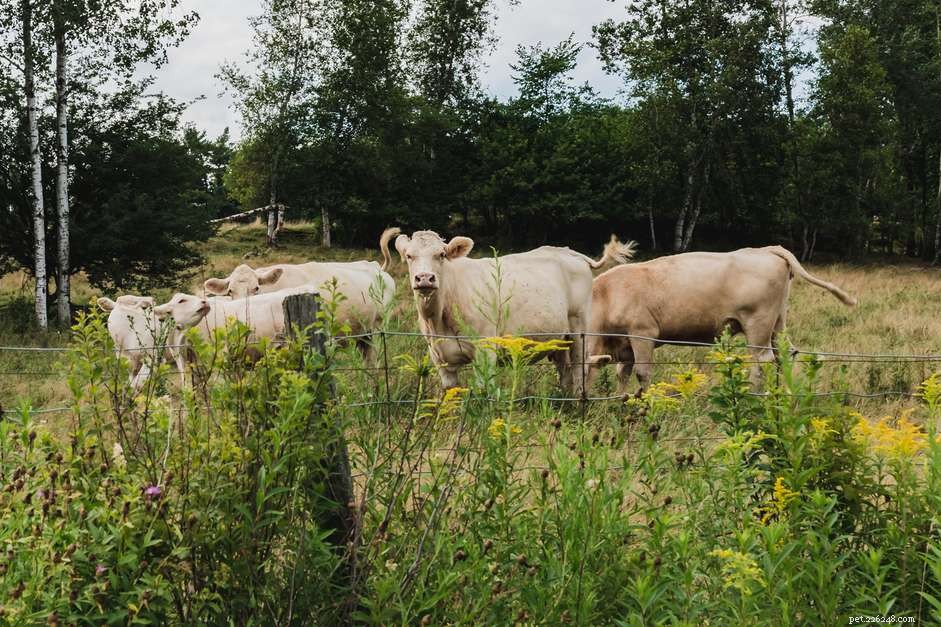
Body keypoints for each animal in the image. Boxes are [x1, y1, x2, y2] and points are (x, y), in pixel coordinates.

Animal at [383, 229, 636, 395]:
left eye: (441, 255)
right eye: (409, 256)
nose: (425, 278)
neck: (439, 317)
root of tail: (569, 252)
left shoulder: (486, 351)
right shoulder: (440, 358)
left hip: (579, 328)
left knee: (578, 368)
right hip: (559, 337)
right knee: (564, 372)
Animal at [585, 245, 858, 395]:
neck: (607, 296)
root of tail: (766, 249)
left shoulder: (642, 333)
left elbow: (642, 373)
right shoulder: (625, 345)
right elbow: (622, 373)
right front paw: (622, 401)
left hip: (758, 324)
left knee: (763, 361)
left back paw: (758, 396)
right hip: (778, 322)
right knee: (785, 355)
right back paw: (784, 394)